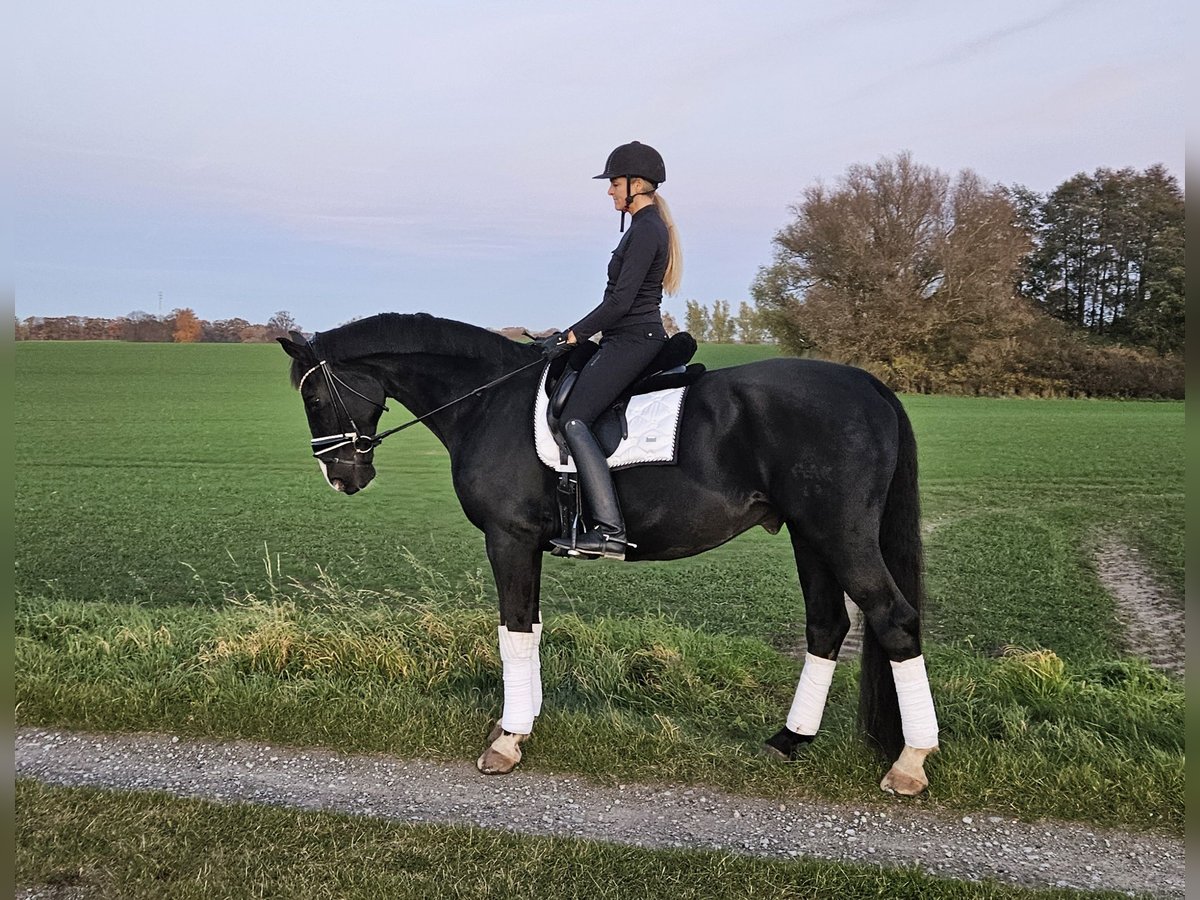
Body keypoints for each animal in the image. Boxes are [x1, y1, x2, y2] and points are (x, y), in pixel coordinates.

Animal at [277, 312, 939, 796]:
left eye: (315, 399)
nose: (342, 477)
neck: (490, 402)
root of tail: (867, 384)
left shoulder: (508, 537)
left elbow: (513, 630)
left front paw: (506, 740)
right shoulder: (525, 543)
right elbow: (531, 628)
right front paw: (525, 724)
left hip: (840, 534)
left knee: (894, 620)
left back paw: (909, 763)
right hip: (810, 535)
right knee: (826, 626)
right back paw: (789, 740)